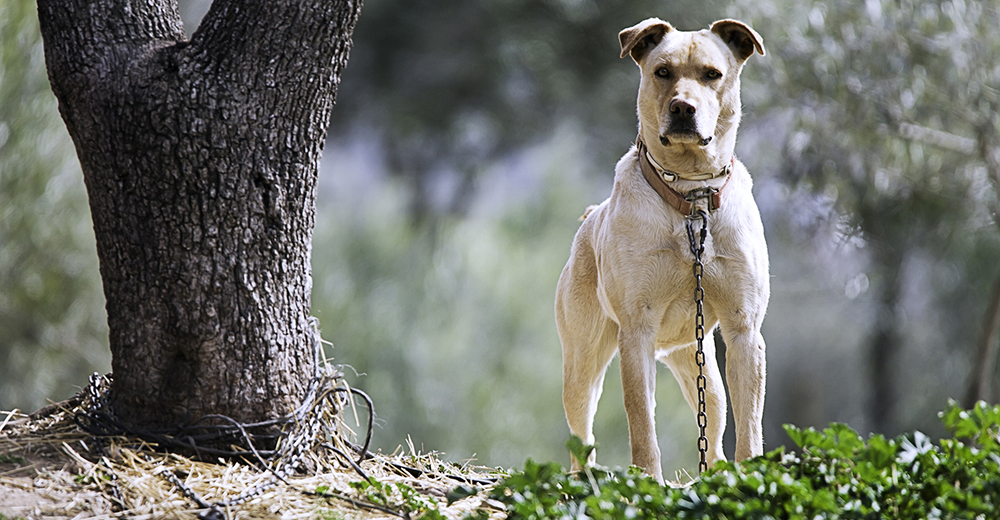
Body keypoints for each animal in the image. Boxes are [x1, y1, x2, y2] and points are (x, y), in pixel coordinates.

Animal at [556, 19, 764, 484]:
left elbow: (750, 422)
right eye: (662, 72)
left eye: (712, 74)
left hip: (701, 366)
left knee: (715, 429)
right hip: (583, 361)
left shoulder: (744, 329)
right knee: (581, 434)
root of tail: (591, 218)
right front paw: (648, 479)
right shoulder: (637, 330)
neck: (690, 193)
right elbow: (640, 420)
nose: (683, 108)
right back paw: (583, 478)